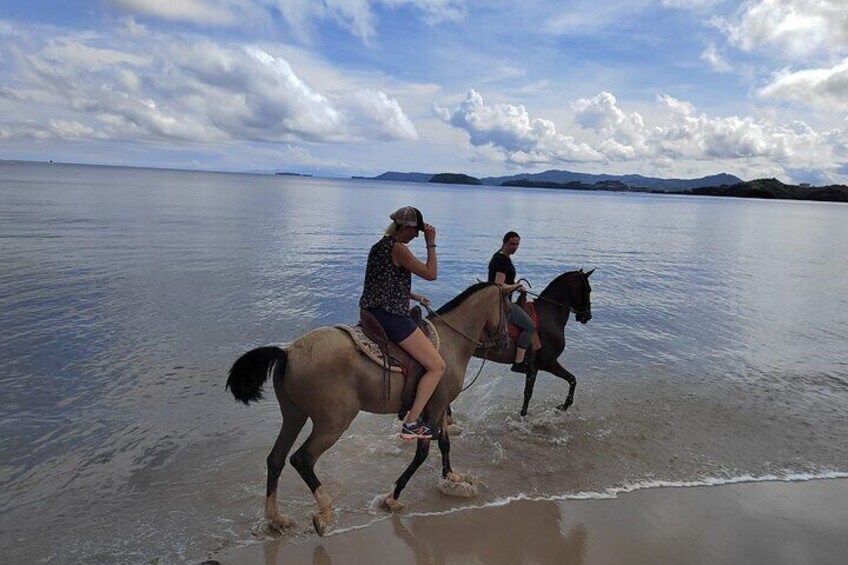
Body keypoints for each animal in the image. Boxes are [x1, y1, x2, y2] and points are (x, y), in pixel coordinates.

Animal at [225, 284, 510, 536]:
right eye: (509, 308)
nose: (506, 341)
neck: (451, 342)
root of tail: (288, 353)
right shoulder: (435, 407)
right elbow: (422, 453)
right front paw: (393, 496)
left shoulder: (438, 407)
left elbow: (444, 443)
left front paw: (450, 476)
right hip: (334, 423)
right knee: (302, 458)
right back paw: (324, 512)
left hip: (294, 415)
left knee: (276, 459)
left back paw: (275, 517)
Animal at [474, 268, 592, 414]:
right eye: (588, 290)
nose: (587, 315)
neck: (549, 316)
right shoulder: (547, 364)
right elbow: (530, 393)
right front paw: (565, 405)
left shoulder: (537, 367)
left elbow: (571, 380)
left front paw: (564, 406)